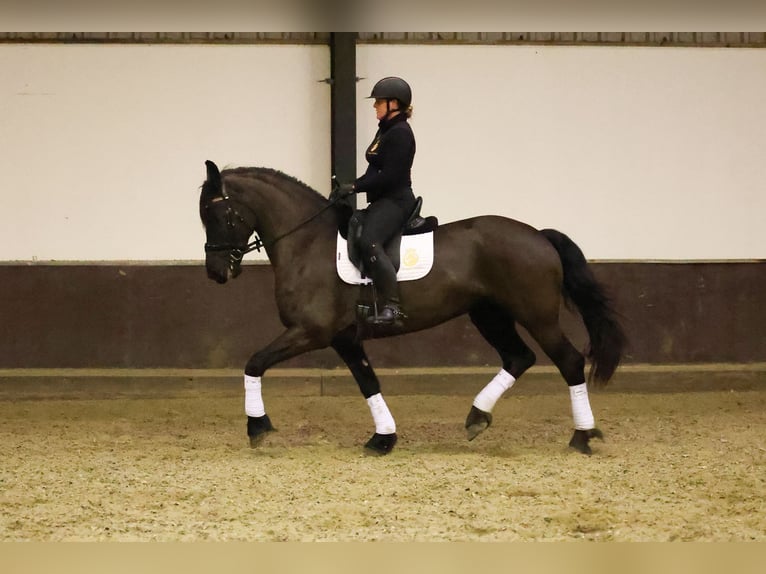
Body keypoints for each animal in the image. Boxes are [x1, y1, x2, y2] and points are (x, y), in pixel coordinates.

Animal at [199, 160, 627, 455]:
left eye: (217, 215)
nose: (216, 272)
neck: (307, 244)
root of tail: (539, 235)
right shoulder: (344, 338)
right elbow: (369, 383)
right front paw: (383, 438)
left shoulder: (310, 332)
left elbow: (254, 363)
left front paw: (258, 427)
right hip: (488, 314)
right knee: (519, 357)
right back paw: (477, 418)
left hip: (537, 316)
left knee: (569, 361)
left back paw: (581, 436)